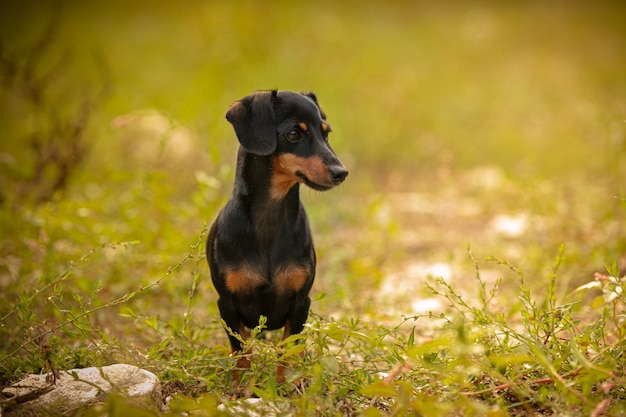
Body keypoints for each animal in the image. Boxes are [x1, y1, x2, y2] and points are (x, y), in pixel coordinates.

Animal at [207, 91, 348, 380]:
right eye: (294, 134)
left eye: (326, 133)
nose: (341, 173)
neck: (269, 220)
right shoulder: (227, 304)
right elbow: (241, 352)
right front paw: (240, 385)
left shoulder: (300, 303)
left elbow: (288, 350)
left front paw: (286, 384)